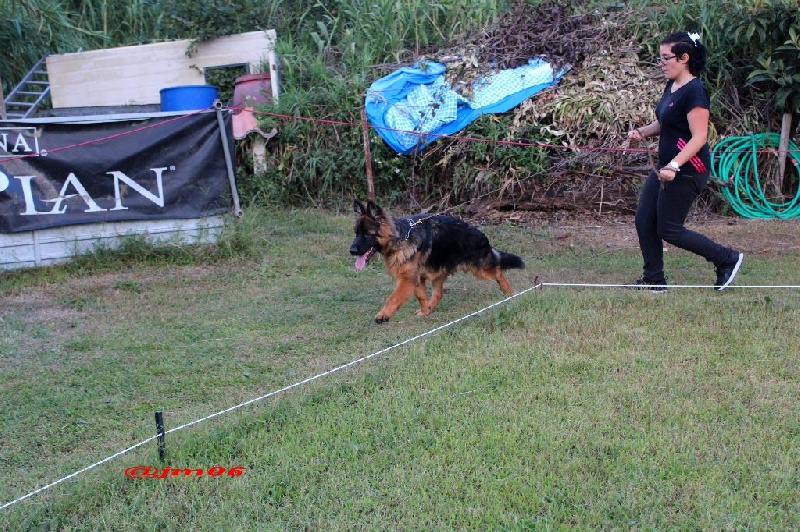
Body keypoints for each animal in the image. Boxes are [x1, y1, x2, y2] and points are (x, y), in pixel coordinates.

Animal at [350, 200, 524, 322]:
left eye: (367, 234)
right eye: (356, 233)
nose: (351, 251)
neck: (401, 237)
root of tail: (481, 235)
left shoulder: (407, 280)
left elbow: (393, 298)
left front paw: (383, 314)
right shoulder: (416, 279)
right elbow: (421, 296)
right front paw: (425, 311)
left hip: (480, 269)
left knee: (498, 270)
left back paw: (508, 292)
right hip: (438, 273)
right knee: (439, 294)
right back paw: (430, 306)